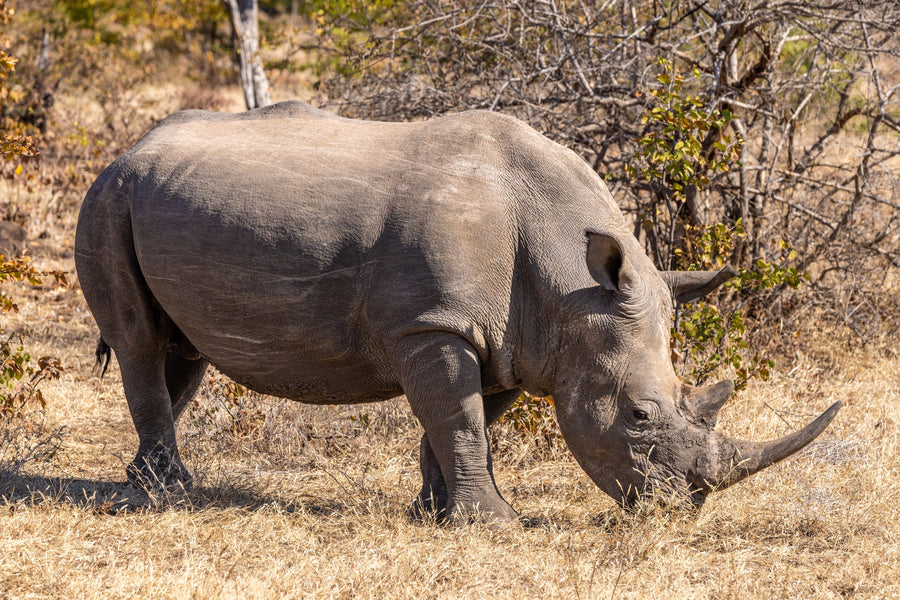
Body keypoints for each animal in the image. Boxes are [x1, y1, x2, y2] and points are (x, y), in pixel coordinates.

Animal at [75, 101, 839, 523]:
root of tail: (130, 147)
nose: (680, 510)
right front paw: (493, 524)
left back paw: (143, 484)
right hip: (107, 197)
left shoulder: (511, 338)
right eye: (639, 415)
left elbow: (464, 419)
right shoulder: (433, 324)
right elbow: (461, 417)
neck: (570, 286)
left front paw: (436, 512)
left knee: (182, 352)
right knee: (140, 341)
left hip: (150, 197)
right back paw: (170, 496)